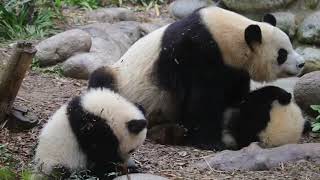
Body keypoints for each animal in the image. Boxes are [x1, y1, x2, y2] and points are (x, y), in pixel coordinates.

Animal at [109, 6, 304, 148]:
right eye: (282, 54)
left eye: (290, 45)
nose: (301, 63)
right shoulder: (196, 55)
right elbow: (202, 102)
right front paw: (211, 142)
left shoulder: (233, 69)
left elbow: (237, 95)